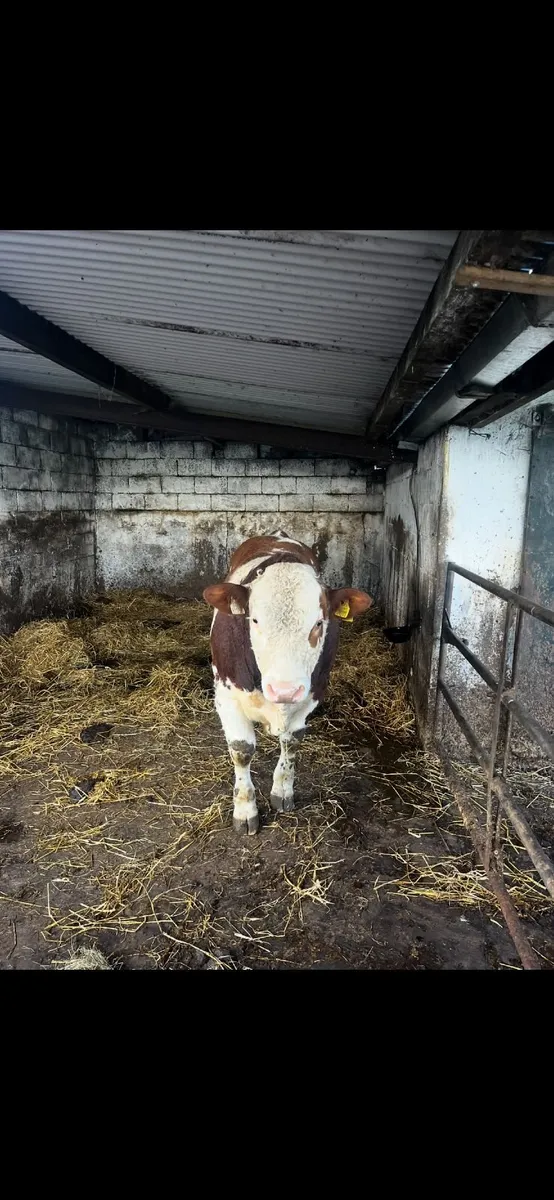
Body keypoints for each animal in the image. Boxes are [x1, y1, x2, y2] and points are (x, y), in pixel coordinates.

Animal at [202, 530, 372, 834]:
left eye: (319, 623)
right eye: (254, 620)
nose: (285, 690)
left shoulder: (313, 692)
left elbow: (291, 743)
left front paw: (282, 791)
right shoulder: (226, 695)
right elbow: (242, 750)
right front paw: (245, 810)